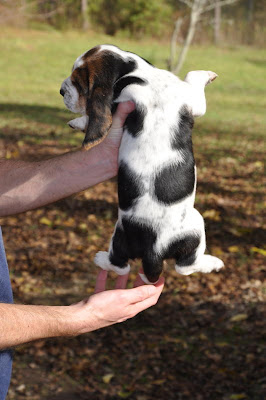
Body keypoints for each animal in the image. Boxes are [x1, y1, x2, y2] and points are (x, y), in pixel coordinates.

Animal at [60, 45, 224, 282]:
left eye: (78, 83)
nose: (61, 91)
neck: (137, 73)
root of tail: (152, 252)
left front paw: (79, 122)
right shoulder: (194, 101)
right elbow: (193, 76)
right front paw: (207, 74)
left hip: (119, 236)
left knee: (120, 264)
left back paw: (101, 259)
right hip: (195, 224)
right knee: (185, 266)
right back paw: (213, 263)